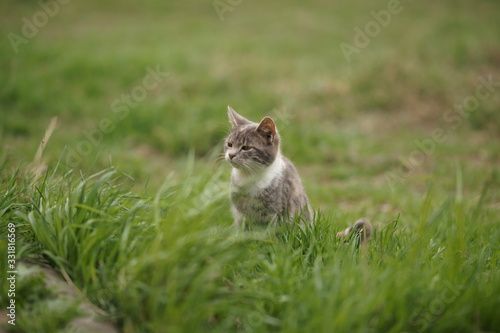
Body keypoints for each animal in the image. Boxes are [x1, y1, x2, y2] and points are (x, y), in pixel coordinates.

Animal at [223, 105, 372, 241]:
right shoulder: (240, 213)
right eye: (229, 144)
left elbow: (269, 234)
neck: (248, 177)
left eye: (246, 148)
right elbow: (241, 228)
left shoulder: (274, 213)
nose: (231, 155)